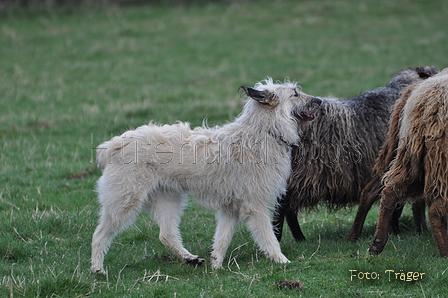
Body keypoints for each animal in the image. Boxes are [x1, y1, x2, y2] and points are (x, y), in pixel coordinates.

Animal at [90, 78, 322, 272]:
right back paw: (97, 269)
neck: (264, 131)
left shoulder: (230, 208)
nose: (319, 101)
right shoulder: (255, 205)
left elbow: (222, 239)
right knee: (99, 235)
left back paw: (190, 258)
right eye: (295, 93)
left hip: (168, 198)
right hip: (124, 200)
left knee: (166, 234)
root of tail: (112, 146)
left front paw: (216, 265)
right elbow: (269, 238)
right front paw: (282, 261)